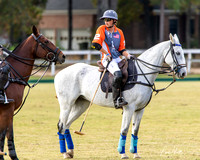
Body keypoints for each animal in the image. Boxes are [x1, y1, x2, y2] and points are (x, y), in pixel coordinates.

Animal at [0, 25, 65, 159]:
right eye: (46, 41)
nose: (63, 56)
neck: (14, 75)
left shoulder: (7, 111)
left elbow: (5, 135)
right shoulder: (8, 110)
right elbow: (7, 134)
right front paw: (10, 156)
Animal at [54, 33, 186, 159]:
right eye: (178, 53)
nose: (183, 73)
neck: (142, 72)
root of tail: (58, 74)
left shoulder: (140, 109)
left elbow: (135, 131)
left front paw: (135, 154)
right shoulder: (129, 107)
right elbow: (124, 130)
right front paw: (123, 154)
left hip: (82, 104)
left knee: (67, 125)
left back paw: (70, 152)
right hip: (66, 104)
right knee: (61, 125)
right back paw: (64, 153)